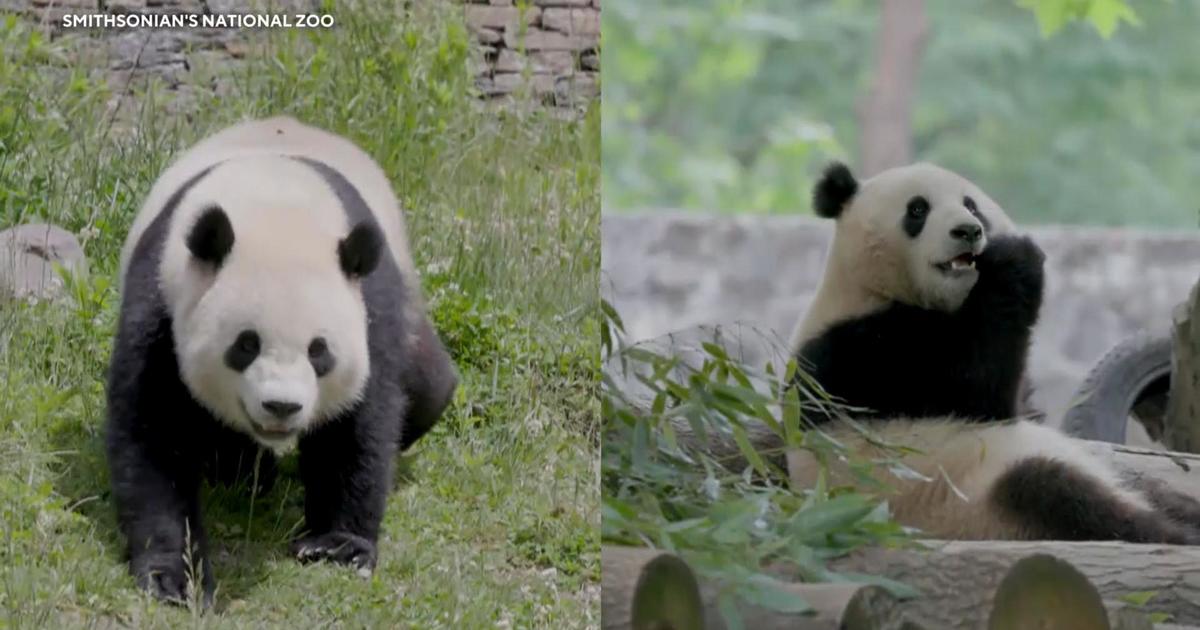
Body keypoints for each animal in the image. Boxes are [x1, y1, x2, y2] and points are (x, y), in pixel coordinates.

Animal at [105, 115, 458, 602]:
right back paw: (240, 472)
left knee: (427, 387)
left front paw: (337, 546)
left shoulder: (368, 308)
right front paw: (175, 576)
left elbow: (358, 425)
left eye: (319, 351)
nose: (282, 406)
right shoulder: (161, 299)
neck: (276, 208)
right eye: (246, 345)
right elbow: (156, 430)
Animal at [787, 159, 1200, 542]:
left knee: (1149, 490)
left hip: (1105, 472)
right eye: (917, 209)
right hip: (981, 503)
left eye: (971, 205)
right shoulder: (858, 352)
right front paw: (1014, 259)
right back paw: (1176, 534)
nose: (968, 230)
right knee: (1060, 496)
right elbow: (974, 388)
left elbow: (1020, 403)